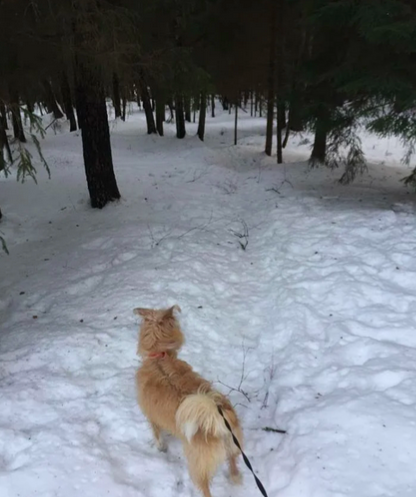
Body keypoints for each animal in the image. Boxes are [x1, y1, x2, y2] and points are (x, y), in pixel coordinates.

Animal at [133, 302, 244, 496]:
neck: (159, 356)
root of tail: (216, 420)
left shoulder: (151, 415)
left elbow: (156, 433)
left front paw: (161, 447)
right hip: (232, 445)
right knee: (233, 466)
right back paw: (235, 477)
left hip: (198, 463)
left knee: (205, 486)